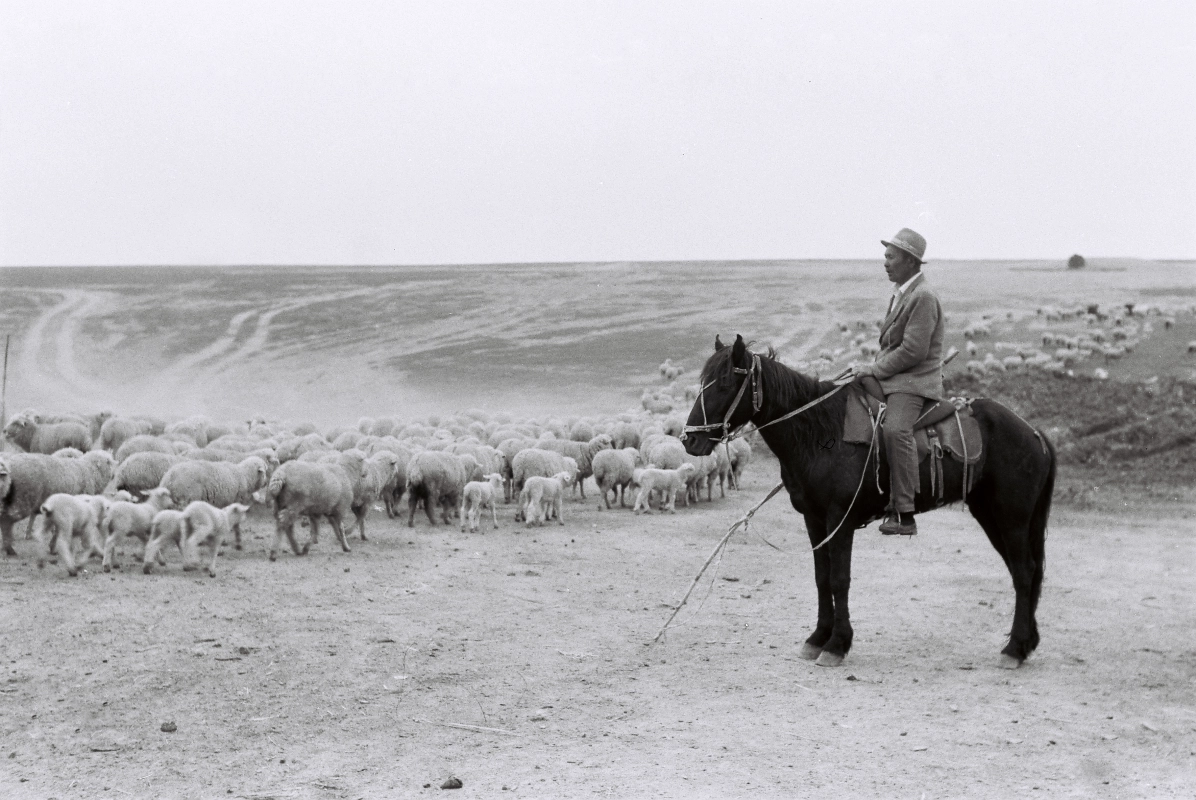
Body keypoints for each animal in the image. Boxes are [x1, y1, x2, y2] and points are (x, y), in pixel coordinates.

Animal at [684, 334, 1057, 669]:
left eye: (724, 382)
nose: (690, 440)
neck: (820, 432)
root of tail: (1034, 432)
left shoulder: (839, 519)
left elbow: (839, 579)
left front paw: (836, 644)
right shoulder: (814, 519)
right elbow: (821, 578)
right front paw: (817, 638)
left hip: (1012, 519)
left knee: (1024, 572)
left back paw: (1014, 649)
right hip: (992, 516)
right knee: (1024, 571)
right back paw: (1025, 642)